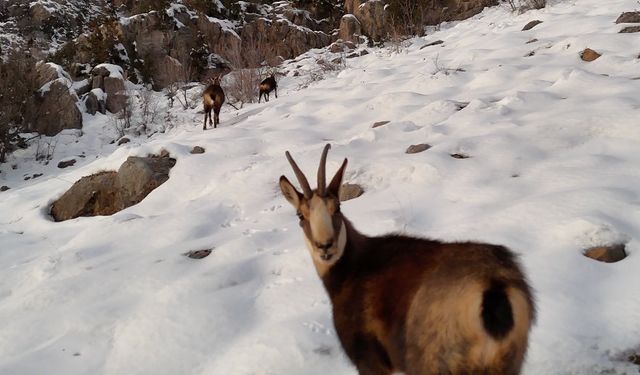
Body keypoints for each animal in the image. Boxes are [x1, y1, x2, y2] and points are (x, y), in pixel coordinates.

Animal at [280, 145, 536, 375]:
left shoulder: (370, 361)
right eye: (300, 215)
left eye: (338, 208)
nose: (325, 246)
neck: (350, 270)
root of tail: (493, 290)